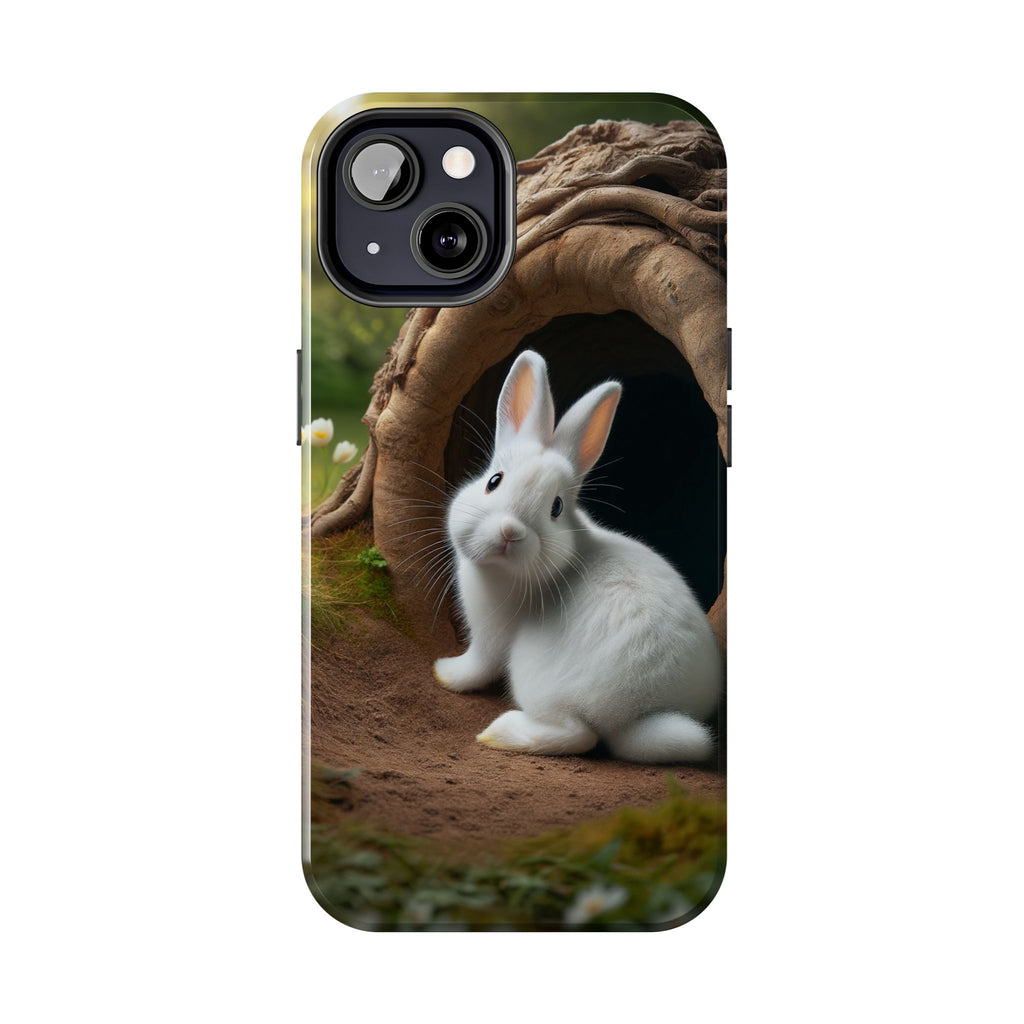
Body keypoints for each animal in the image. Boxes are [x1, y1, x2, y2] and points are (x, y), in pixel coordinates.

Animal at [433, 350, 722, 763]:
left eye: (555, 507)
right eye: (494, 482)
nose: (510, 532)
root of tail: (637, 715)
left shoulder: (490, 635)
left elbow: (476, 667)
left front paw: (444, 671)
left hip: (538, 678)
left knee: (577, 735)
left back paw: (497, 733)